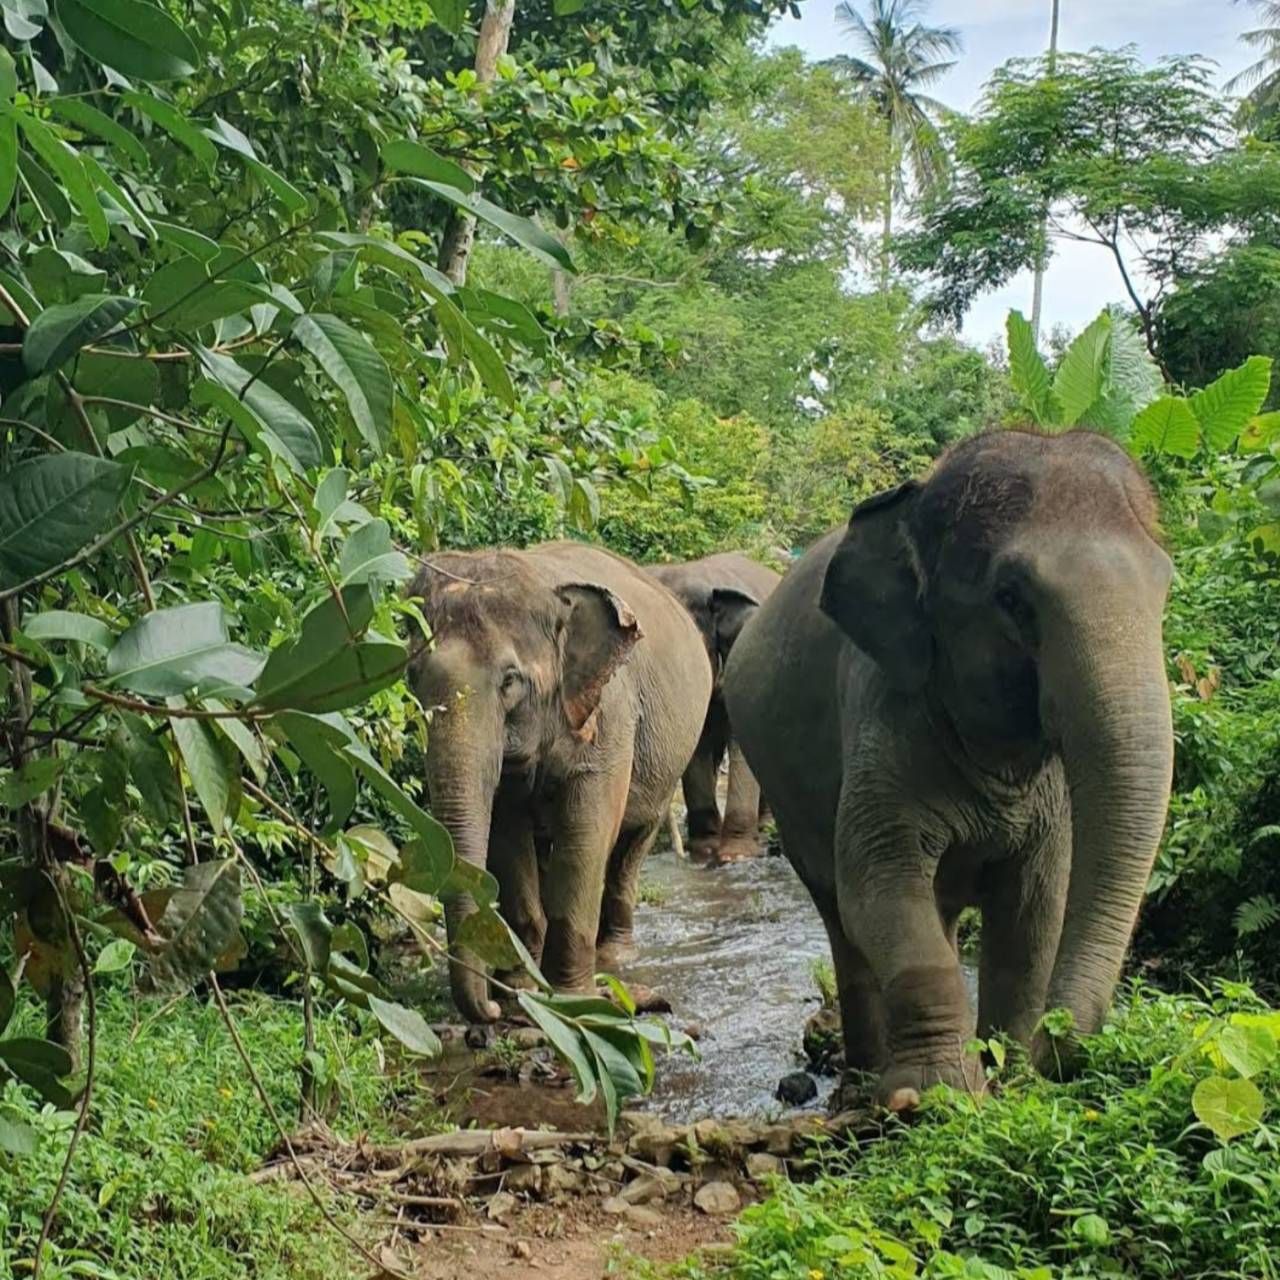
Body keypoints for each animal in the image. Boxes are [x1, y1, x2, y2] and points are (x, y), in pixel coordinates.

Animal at [407, 541, 713, 1023]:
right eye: (412, 675)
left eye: (509, 681)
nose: (489, 1008)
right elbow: (508, 835)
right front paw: (519, 990)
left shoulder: (609, 715)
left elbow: (584, 836)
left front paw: (569, 999)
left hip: (668, 759)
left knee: (630, 847)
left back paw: (615, 955)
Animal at [724, 429, 1173, 1109]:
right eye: (1011, 598)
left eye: (1166, 585)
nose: (1059, 1047)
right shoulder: (882, 710)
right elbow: (880, 887)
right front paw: (935, 1095)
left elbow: (1036, 907)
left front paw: (1011, 1081)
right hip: (785, 794)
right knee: (840, 916)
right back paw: (861, 1088)